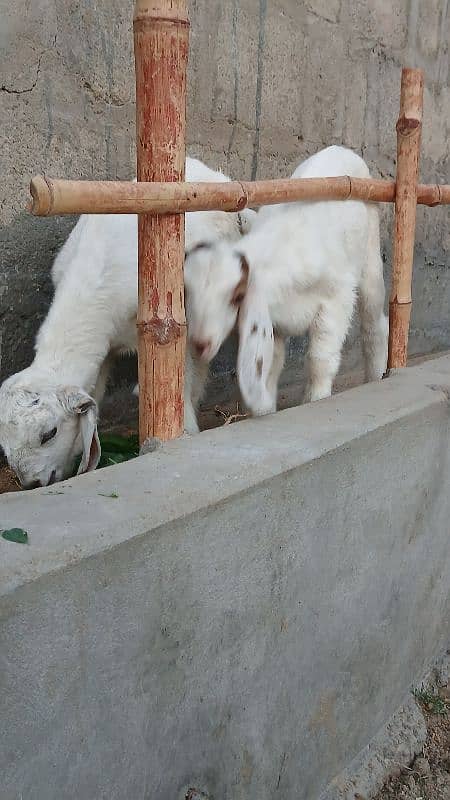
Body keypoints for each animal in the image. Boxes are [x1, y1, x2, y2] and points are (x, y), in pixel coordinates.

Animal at [0, 153, 255, 484]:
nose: (32, 483)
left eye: (49, 434)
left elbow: (182, 376)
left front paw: (185, 429)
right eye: (5, 444)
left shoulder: (173, 324)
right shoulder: (103, 349)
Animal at [185, 146, 388, 416]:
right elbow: (270, 368)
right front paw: (264, 413)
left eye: (237, 296)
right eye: (187, 292)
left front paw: (316, 399)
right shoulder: (274, 322)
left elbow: (320, 359)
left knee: (373, 325)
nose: (199, 344)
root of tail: (341, 149)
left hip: (370, 257)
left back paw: (375, 378)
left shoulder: (336, 300)